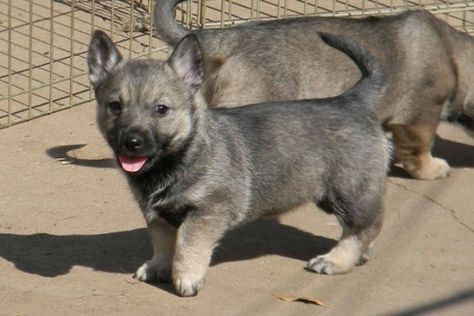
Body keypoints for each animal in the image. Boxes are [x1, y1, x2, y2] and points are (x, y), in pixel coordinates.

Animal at [87, 29, 390, 296]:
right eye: (115, 106)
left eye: (161, 110)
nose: (132, 142)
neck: (182, 155)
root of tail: (351, 100)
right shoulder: (156, 215)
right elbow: (162, 242)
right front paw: (158, 266)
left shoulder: (207, 211)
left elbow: (187, 245)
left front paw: (186, 277)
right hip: (332, 196)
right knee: (368, 224)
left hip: (349, 191)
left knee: (364, 226)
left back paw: (336, 260)